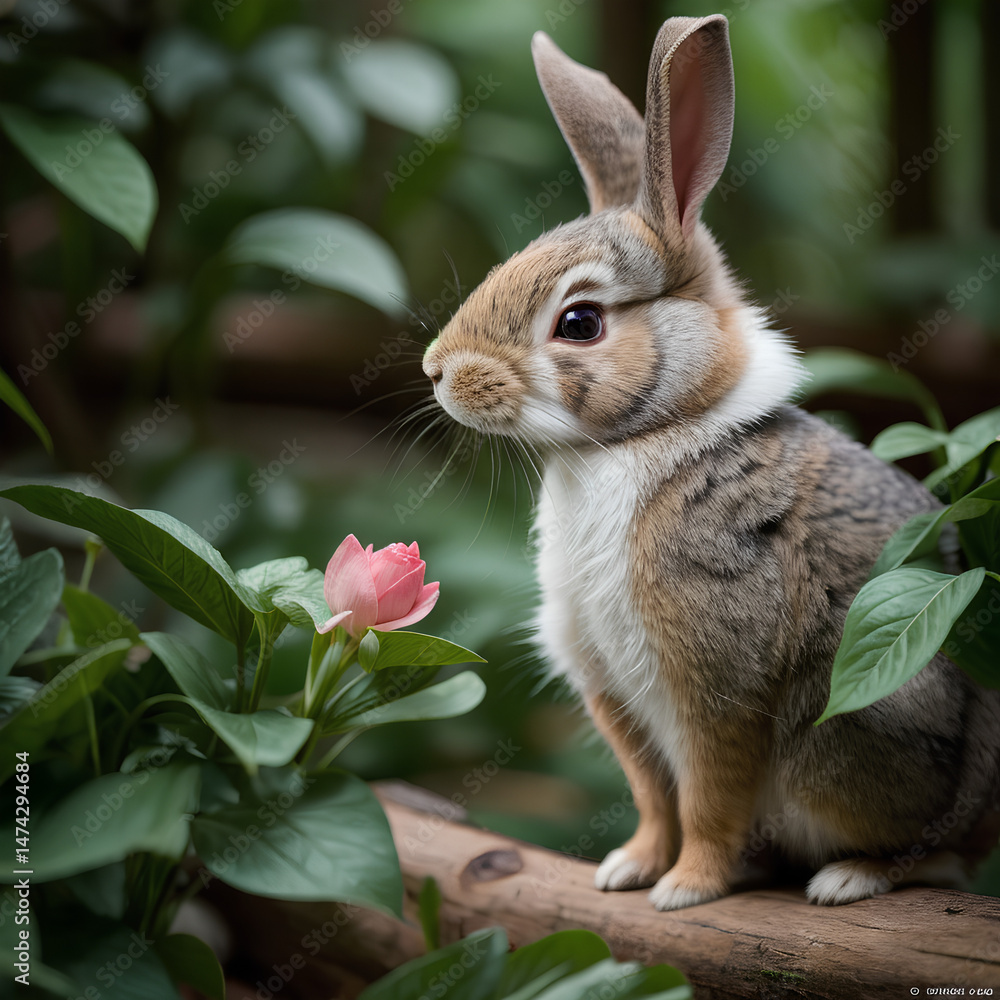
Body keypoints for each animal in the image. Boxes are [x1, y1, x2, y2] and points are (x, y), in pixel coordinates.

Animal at [421, 14, 1000, 910]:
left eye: (579, 322)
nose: (439, 372)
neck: (648, 435)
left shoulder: (717, 687)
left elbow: (708, 799)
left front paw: (685, 889)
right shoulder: (613, 693)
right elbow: (655, 797)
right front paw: (628, 869)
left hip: (860, 733)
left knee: (932, 853)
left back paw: (847, 879)